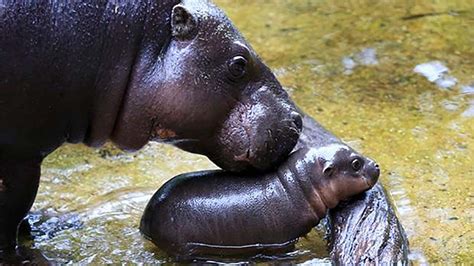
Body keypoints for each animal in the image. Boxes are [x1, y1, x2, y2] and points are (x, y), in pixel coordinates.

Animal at [139, 143, 380, 260]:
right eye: (356, 163)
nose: (376, 165)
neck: (296, 185)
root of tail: (146, 219)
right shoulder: (283, 241)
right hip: (184, 248)